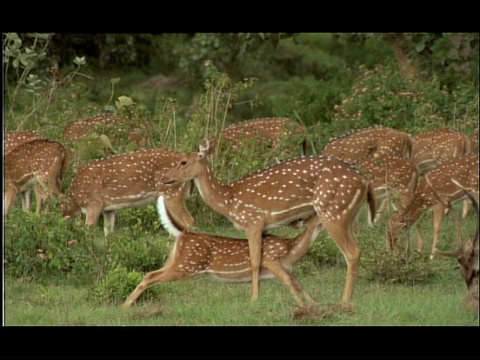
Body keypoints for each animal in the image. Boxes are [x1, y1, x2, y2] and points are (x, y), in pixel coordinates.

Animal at [63, 147, 195, 236]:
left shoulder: (93, 203)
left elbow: (89, 230)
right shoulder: (109, 209)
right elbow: (108, 234)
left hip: (171, 192)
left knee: (189, 221)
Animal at [124, 195, 324, 308]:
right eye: (316, 215)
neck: (291, 252)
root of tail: (183, 234)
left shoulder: (288, 268)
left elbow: (299, 284)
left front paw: (314, 304)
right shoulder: (271, 259)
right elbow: (290, 282)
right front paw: (302, 306)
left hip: (176, 260)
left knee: (150, 273)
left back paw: (125, 306)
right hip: (187, 265)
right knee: (150, 276)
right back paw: (126, 306)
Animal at [161, 139, 376, 302]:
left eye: (183, 162)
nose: (164, 177)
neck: (228, 201)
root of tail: (365, 182)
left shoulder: (253, 221)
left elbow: (255, 260)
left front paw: (254, 298)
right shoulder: (264, 228)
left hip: (333, 212)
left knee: (352, 252)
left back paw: (345, 300)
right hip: (348, 216)